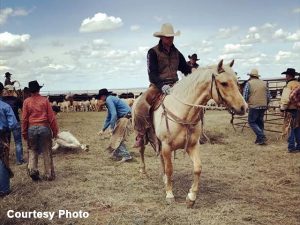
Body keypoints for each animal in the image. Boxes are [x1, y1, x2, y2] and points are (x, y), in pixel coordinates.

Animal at [132, 59, 247, 207]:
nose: (243, 107)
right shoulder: (167, 146)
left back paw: (164, 179)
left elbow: (197, 168)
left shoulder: (192, 146)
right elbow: (170, 169)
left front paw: (191, 197)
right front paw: (170, 194)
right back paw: (143, 171)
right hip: (142, 133)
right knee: (141, 149)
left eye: (237, 81)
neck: (183, 112)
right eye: (224, 83)